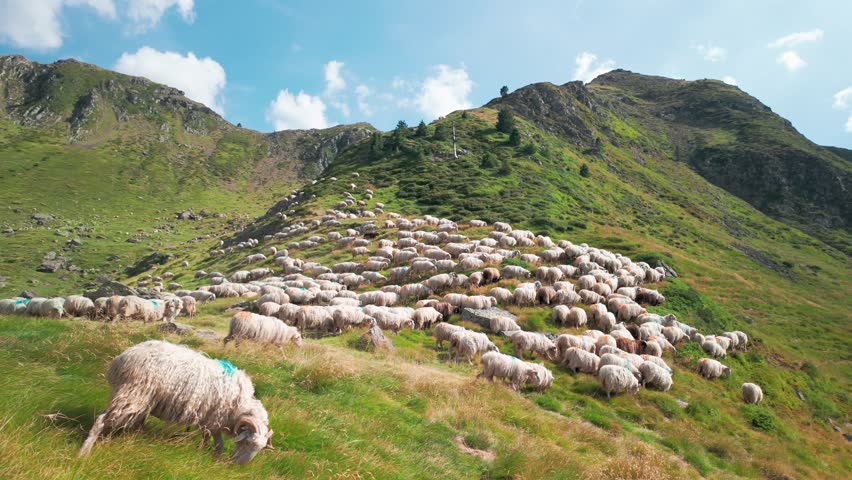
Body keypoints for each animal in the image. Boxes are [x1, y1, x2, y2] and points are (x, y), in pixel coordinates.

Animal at [79, 340, 272, 464]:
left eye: (260, 449)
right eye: (246, 443)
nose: (237, 465)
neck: (239, 406)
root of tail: (123, 358)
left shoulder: (210, 420)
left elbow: (210, 439)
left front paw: (209, 454)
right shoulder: (215, 419)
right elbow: (218, 443)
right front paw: (217, 459)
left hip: (136, 396)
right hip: (134, 393)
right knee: (101, 420)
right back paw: (84, 452)